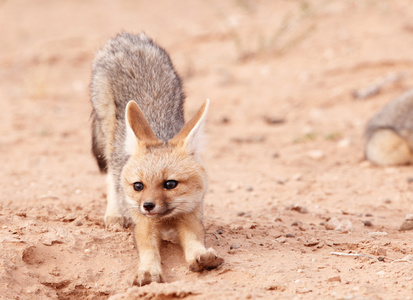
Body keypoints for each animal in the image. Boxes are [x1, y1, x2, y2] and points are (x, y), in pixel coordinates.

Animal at [89, 32, 222, 286]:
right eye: (138, 186)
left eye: (170, 184)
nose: (148, 205)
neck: (166, 220)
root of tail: (126, 37)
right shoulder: (143, 224)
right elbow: (148, 248)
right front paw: (148, 270)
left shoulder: (191, 216)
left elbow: (194, 239)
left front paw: (201, 255)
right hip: (109, 134)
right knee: (111, 174)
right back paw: (114, 213)